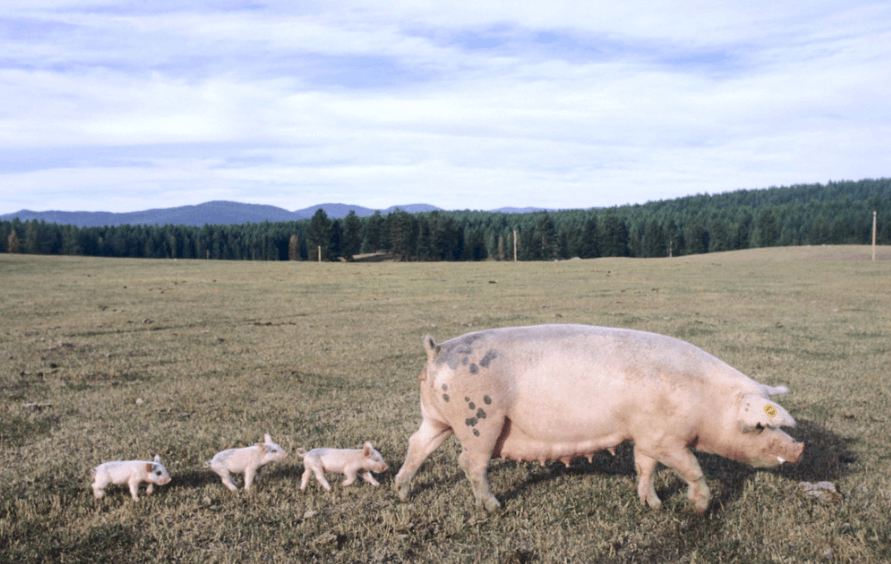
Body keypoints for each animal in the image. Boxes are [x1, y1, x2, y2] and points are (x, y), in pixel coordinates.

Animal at [394, 324, 804, 512]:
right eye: (759, 425)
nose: (799, 450)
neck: (705, 400)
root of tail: (438, 350)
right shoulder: (666, 438)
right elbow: (691, 467)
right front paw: (698, 508)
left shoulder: (646, 436)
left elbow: (645, 468)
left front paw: (654, 504)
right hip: (481, 420)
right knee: (470, 462)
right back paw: (494, 506)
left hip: (438, 417)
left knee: (417, 444)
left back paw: (401, 491)